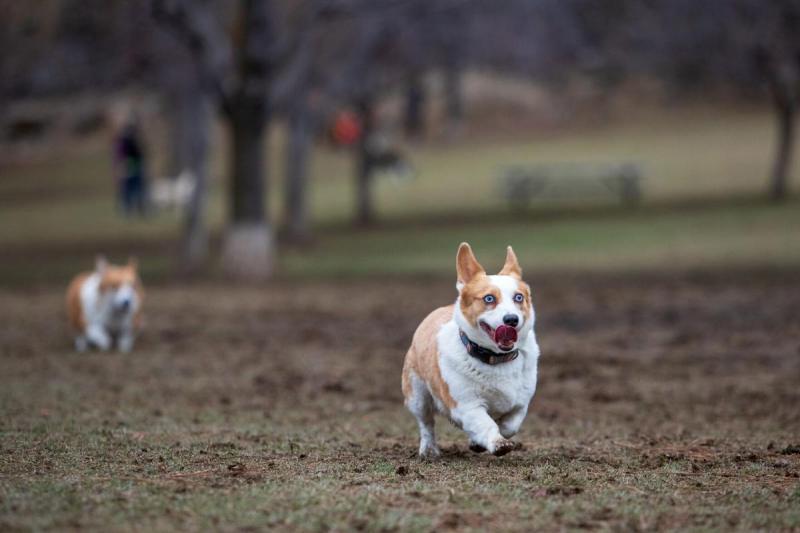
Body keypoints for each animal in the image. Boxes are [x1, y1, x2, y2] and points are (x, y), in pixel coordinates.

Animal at [404, 243, 540, 456]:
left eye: (519, 297)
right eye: (489, 298)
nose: (511, 319)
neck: (496, 357)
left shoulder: (521, 403)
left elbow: (510, 425)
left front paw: (482, 441)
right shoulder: (468, 405)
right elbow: (486, 424)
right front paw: (497, 443)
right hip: (417, 395)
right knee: (426, 423)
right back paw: (429, 450)